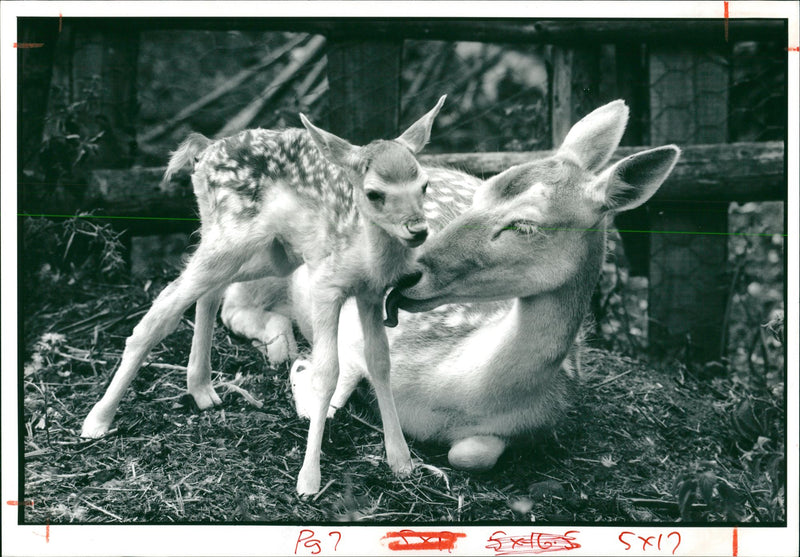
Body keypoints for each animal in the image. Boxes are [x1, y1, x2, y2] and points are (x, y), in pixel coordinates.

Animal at [81, 95, 450, 496]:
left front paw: (401, 462)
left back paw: (202, 390)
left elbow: (380, 362)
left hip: (269, 253)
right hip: (231, 236)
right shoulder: (325, 285)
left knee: (208, 293)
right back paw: (97, 421)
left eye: (424, 185)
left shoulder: (372, 294)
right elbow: (327, 372)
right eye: (374, 193)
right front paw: (308, 480)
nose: (418, 229)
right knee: (167, 301)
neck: (364, 254)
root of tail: (204, 151)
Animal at [220, 99, 680, 470]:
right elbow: (333, 386)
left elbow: (471, 454)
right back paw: (281, 343)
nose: (407, 274)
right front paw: (303, 376)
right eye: (481, 194)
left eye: (526, 225)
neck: (454, 391)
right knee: (231, 302)